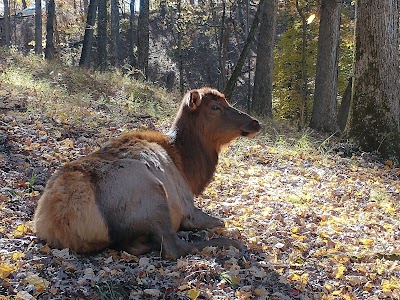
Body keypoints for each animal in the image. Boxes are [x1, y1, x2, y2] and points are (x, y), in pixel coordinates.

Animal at [32, 86, 260, 258]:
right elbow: (220, 221)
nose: (255, 122)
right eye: (215, 107)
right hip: (152, 193)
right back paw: (230, 243)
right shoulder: (187, 206)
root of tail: (60, 219)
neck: (187, 168)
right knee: (173, 247)